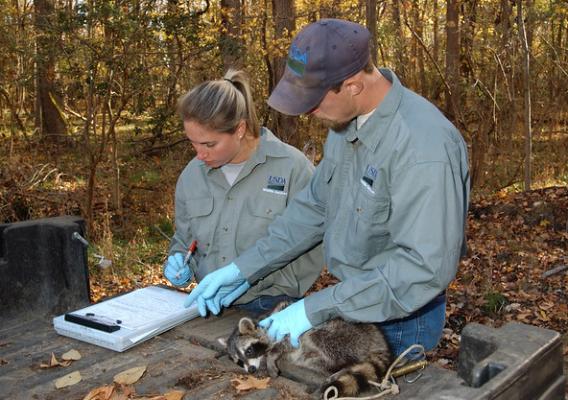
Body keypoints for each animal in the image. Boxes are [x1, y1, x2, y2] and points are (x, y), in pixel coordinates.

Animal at [219, 304, 394, 398]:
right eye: (238, 361)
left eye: (249, 351)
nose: (251, 370)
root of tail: (379, 340)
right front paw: (262, 362)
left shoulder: (285, 330)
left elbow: (284, 343)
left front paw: (269, 357)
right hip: (315, 357)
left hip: (340, 334)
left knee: (324, 341)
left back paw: (345, 368)